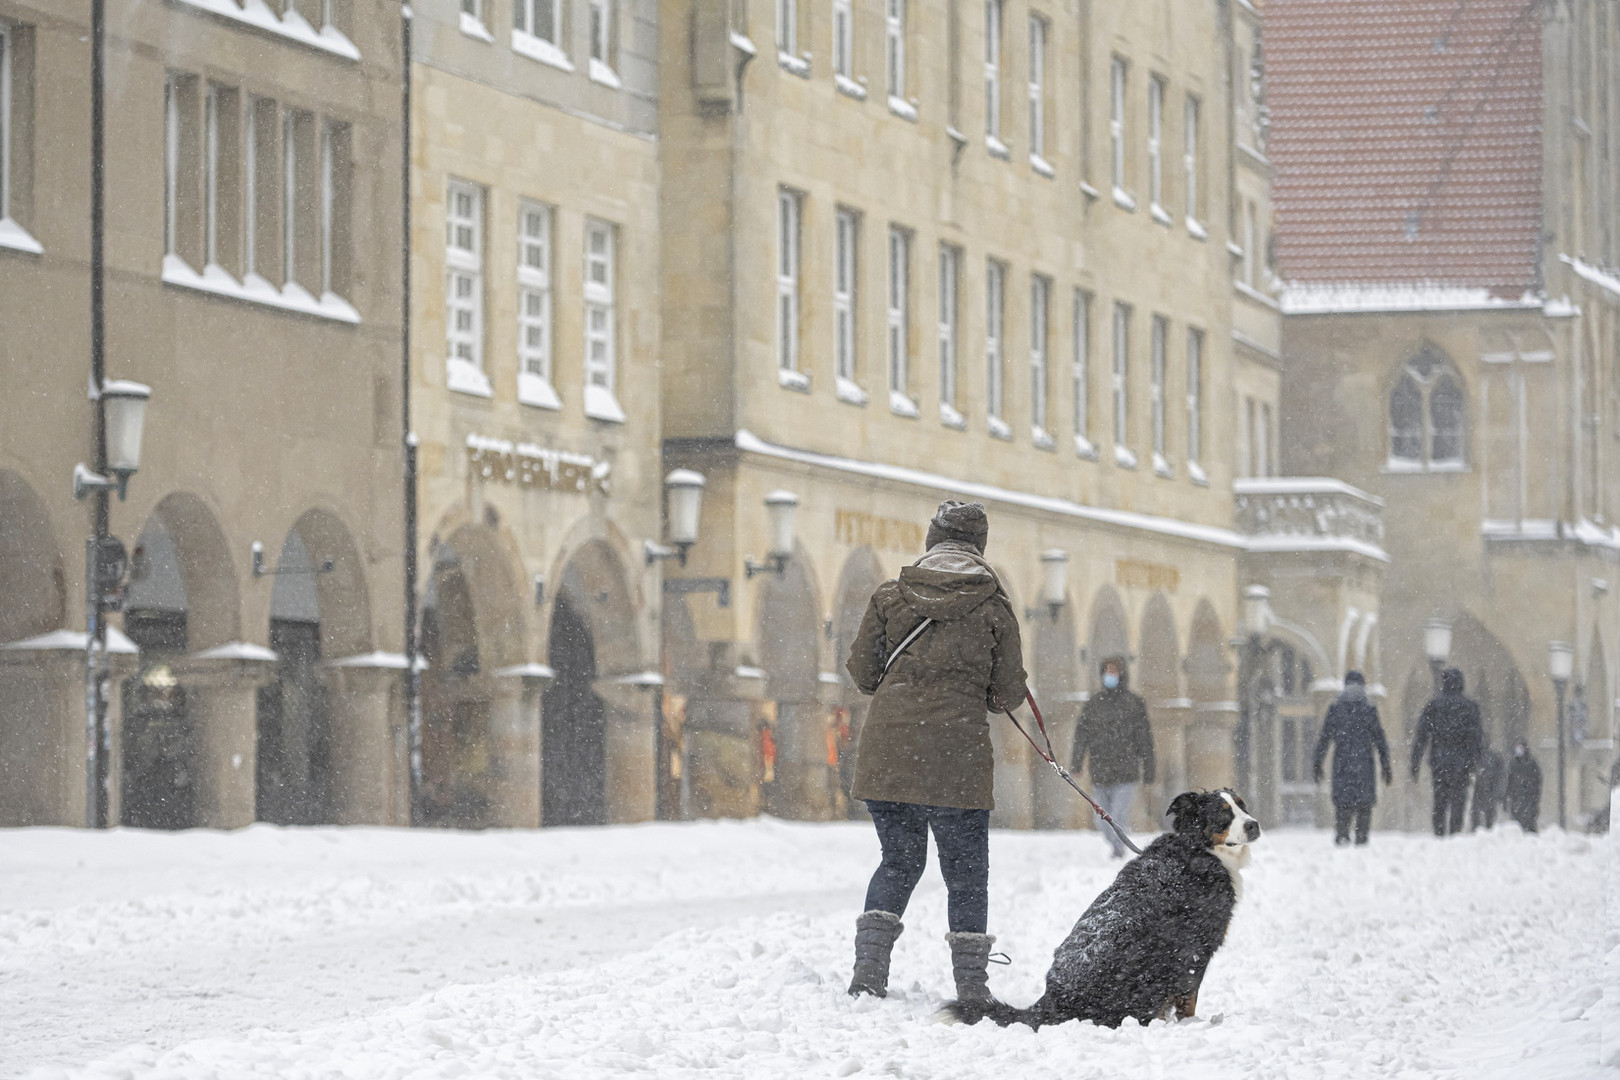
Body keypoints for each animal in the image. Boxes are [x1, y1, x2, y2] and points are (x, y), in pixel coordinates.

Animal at [946, 793, 1257, 1029]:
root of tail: (1050, 1003)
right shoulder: (1194, 949)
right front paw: (1194, 1024)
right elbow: (1189, 998)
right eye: (1223, 813)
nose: (1254, 824)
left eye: (1243, 805)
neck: (1199, 850)